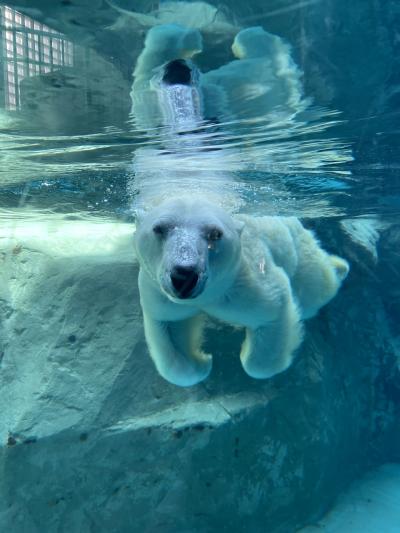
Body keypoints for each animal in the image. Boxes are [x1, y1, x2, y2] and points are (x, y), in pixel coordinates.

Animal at [133, 197, 348, 384]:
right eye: (159, 228)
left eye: (215, 233)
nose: (184, 274)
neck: (208, 295)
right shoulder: (159, 292)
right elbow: (170, 327)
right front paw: (203, 363)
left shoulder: (244, 283)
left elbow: (272, 312)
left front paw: (245, 353)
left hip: (296, 248)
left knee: (316, 285)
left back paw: (339, 267)